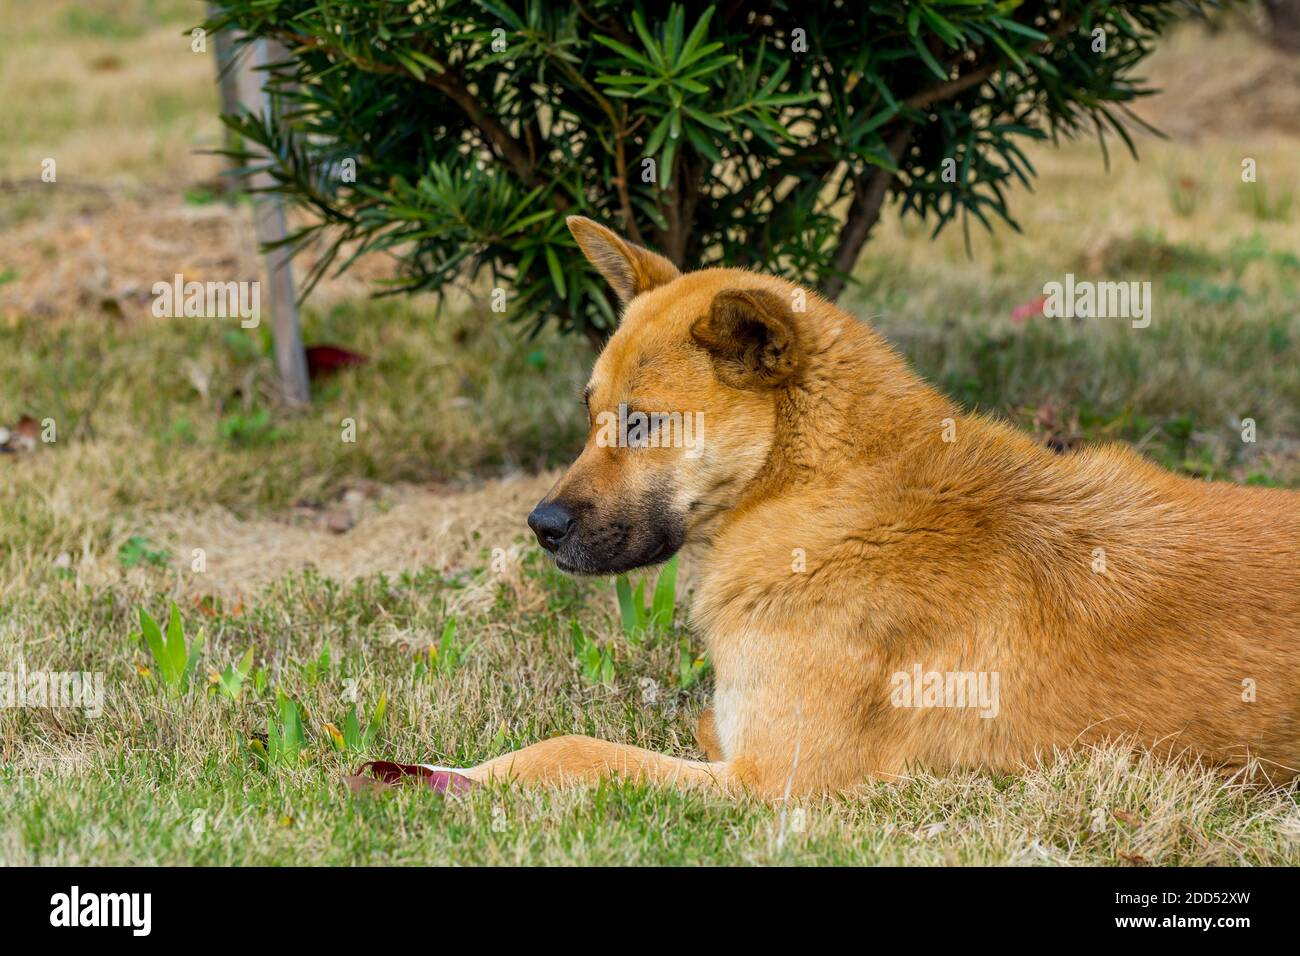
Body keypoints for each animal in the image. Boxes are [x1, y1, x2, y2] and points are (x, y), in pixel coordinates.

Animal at [452, 218, 1294, 801]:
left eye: (641, 425)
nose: (540, 527)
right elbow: (701, 721)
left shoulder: (774, 779)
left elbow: (569, 749)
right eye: (591, 410)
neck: (821, 495)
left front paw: (456, 777)